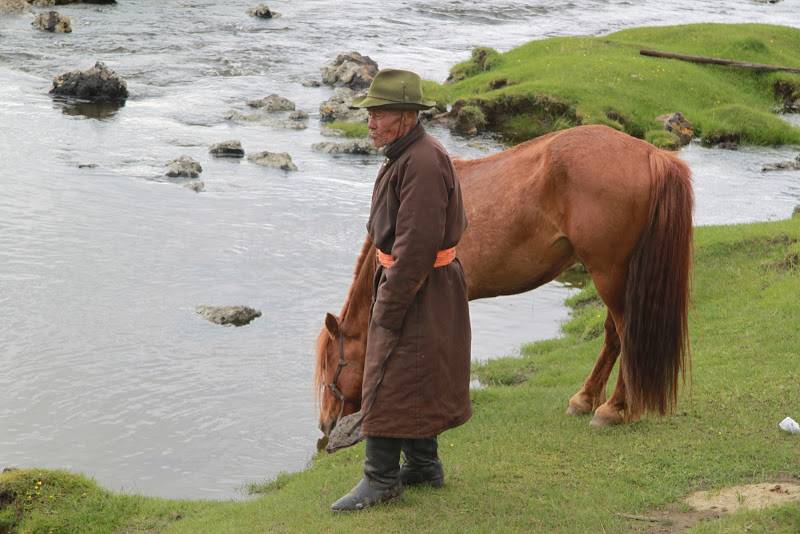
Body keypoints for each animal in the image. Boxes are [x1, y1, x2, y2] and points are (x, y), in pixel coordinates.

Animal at [314, 124, 693, 437]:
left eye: (334, 365)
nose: (326, 424)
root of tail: (652, 155)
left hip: (609, 274)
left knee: (627, 335)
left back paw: (613, 409)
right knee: (614, 336)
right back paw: (585, 399)